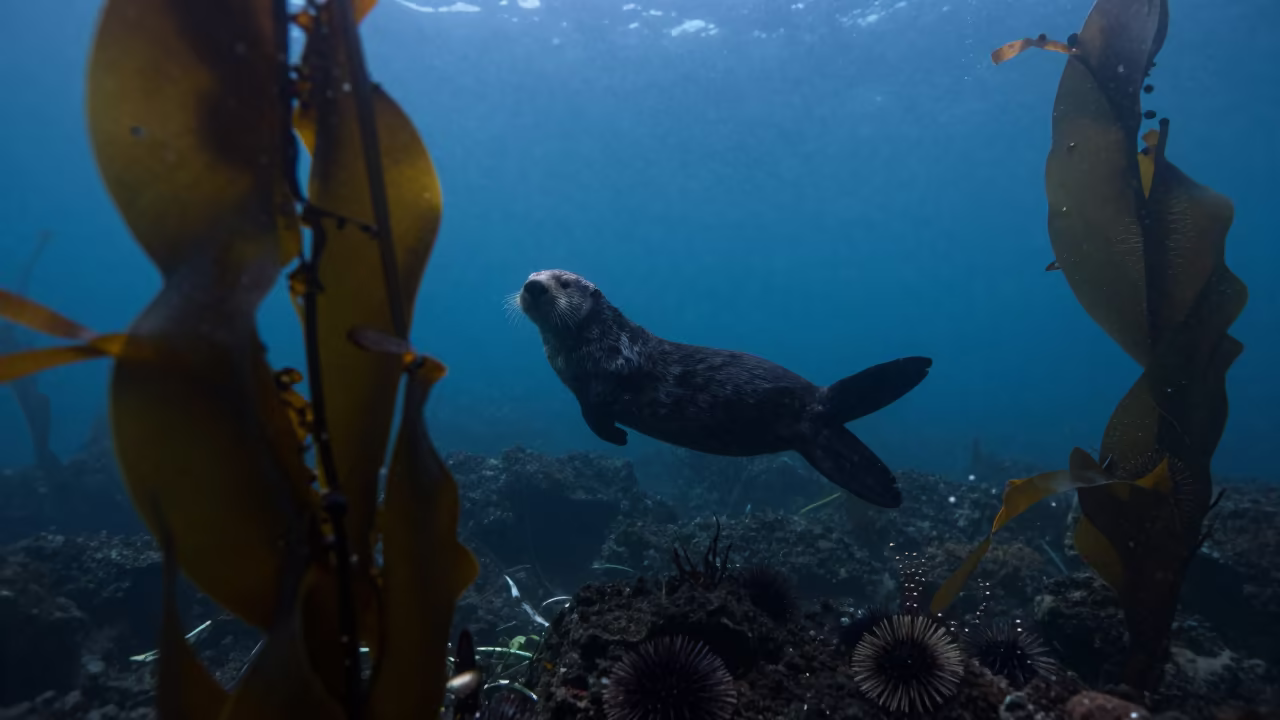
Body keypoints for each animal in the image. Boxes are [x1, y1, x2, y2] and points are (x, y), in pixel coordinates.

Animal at [515, 269, 932, 508]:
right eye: (532, 274)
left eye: (565, 282)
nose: (533, 286)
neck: (600, 340)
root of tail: (821, 400)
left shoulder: (598, 388)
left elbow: (599, 421)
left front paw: (619, 439)